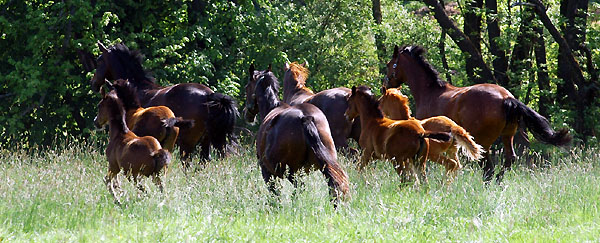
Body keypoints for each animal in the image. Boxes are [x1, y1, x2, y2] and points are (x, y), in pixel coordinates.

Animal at [89, 40, 239, 164]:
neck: (137, 88)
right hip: (206, 140)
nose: (93, 83)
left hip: (188, 142)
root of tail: (208, 94)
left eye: (99, 60)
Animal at [243, 64, 350, 203]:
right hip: (325, 165)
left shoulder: (267, 172)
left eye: (247, 87)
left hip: (292, 172)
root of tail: (305, 117)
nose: (246, 113)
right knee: (334, 187)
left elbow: (275, 195)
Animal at [384, 45, 572, 182]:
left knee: (488, 167)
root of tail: (506, 98)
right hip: (507, 136)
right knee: (509, 159)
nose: (384, 86)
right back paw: (498, 182)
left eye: (389, 64)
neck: (430, 91)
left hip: (483, 141)